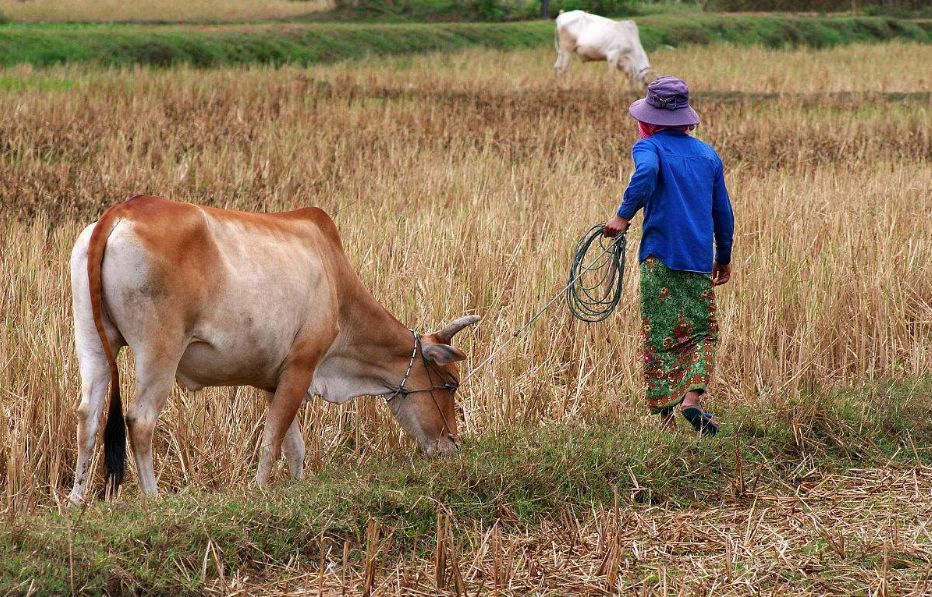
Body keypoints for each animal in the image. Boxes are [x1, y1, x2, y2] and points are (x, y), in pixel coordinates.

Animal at [71, 197, 480, 502]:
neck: (336, 280)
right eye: (450, 383)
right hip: (160, 352)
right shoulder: (302, 366)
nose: (452, 445)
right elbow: (273, 440)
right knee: (140, 421)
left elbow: (294, 447)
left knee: (88, 416)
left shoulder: (276, 381)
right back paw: (153, 499)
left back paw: (76, 502)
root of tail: (121, 212)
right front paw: (259, 488)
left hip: (92, 344)